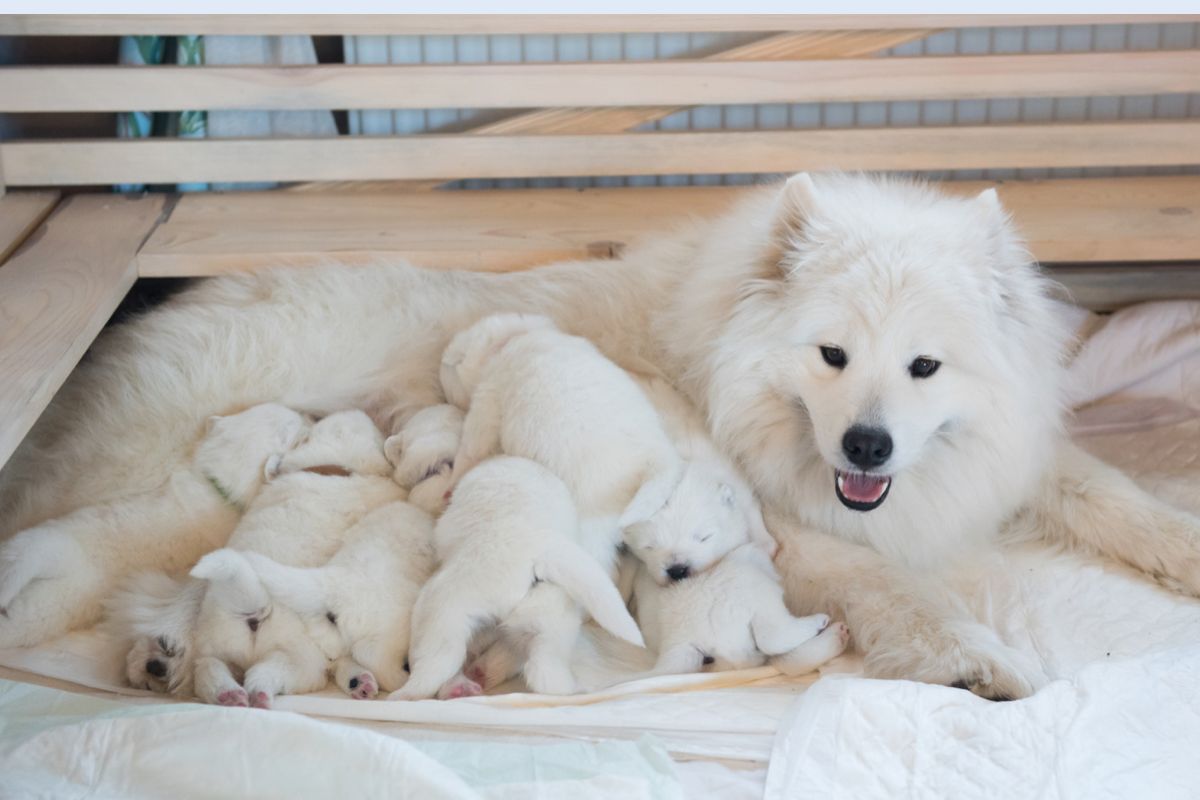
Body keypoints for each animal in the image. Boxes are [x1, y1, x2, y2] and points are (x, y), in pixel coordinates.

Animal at [1, 407, 309, 652]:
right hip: (45, 546)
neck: (216, 487)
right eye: (288, 427)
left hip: (50, 604)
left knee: (19, 617)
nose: (307, 415)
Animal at [114, 410, 403, 710]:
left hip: (226, 642)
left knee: (210, 667)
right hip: (301, 659)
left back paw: (226, 692)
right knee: (265, 672)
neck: (332, 465)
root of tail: (257, 608)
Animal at [396, 455, 648, 700]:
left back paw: (408, 694)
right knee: (544, 672)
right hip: (551, 620)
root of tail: (536, 555)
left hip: (442, 610)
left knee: (433, 669)